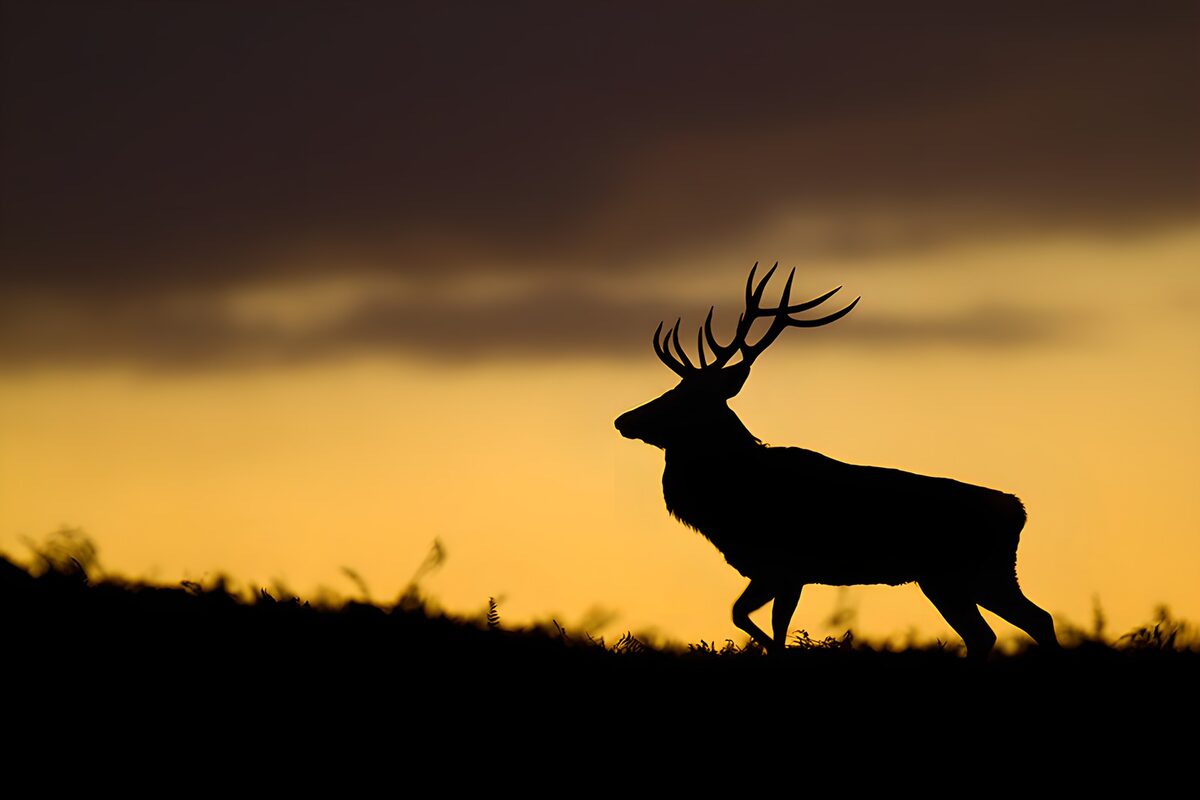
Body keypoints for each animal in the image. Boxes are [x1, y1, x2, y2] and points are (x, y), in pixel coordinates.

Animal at [614, 264, 1060, 659]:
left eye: (682, 398)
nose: (623, 419)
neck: (725, 506)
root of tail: (1017, 510)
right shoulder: (774, 571)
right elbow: (747, 617)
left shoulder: (785, 566)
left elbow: (764, 624)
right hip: (957, 578)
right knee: (1005, 629)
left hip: (969, 572)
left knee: (1026, 623)